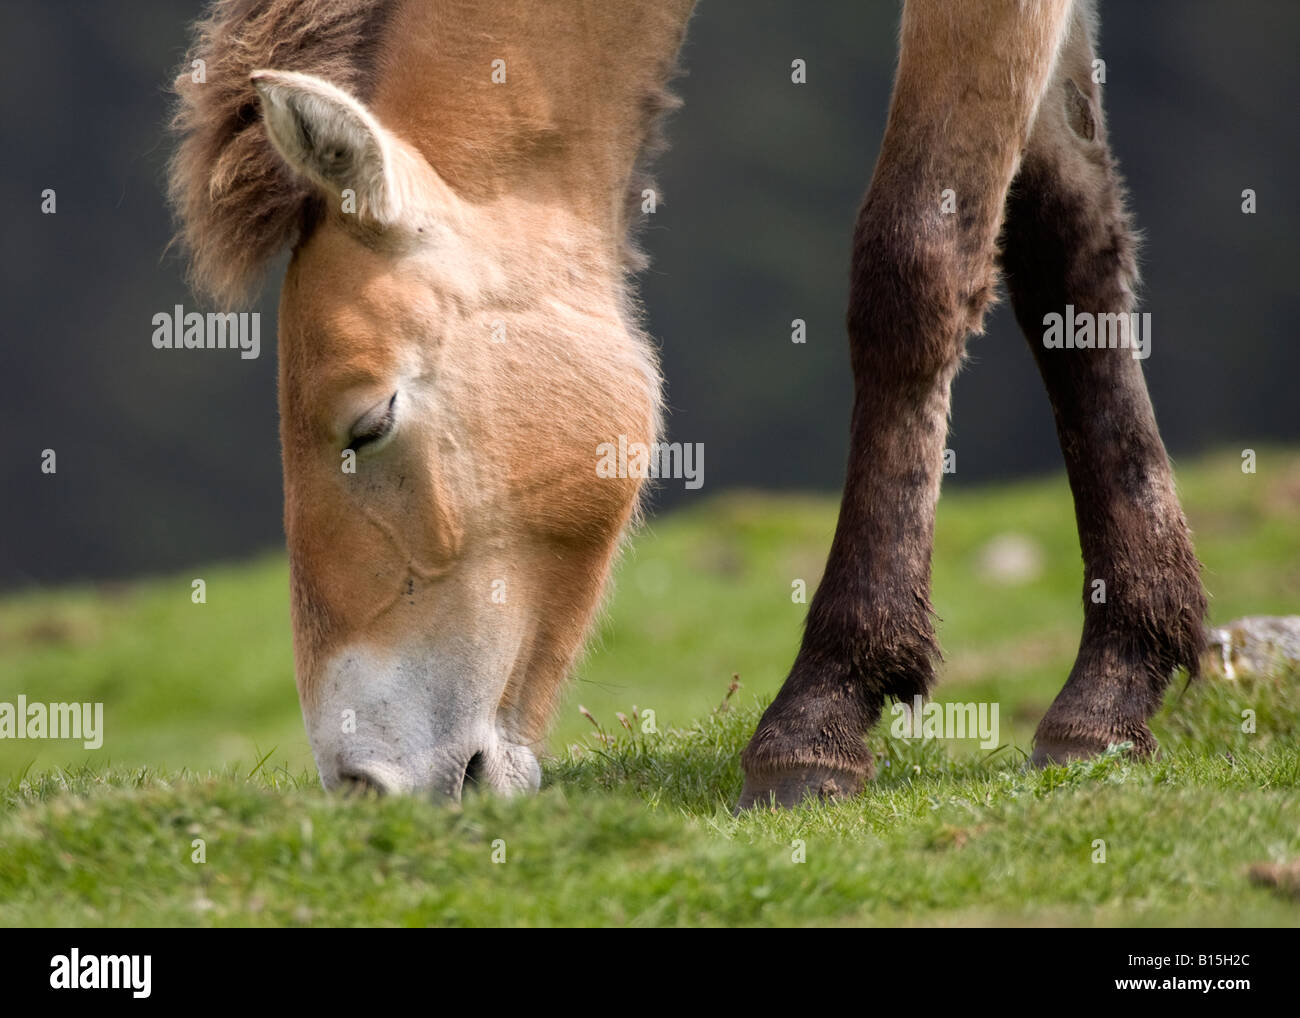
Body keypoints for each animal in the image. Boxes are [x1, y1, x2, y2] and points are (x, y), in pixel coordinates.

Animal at [170, 1, 1206, 811]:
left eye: (370, 424)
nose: (362, 787)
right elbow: (1066, 248)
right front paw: (1116, 685)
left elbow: (914, 262)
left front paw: (822, 713)